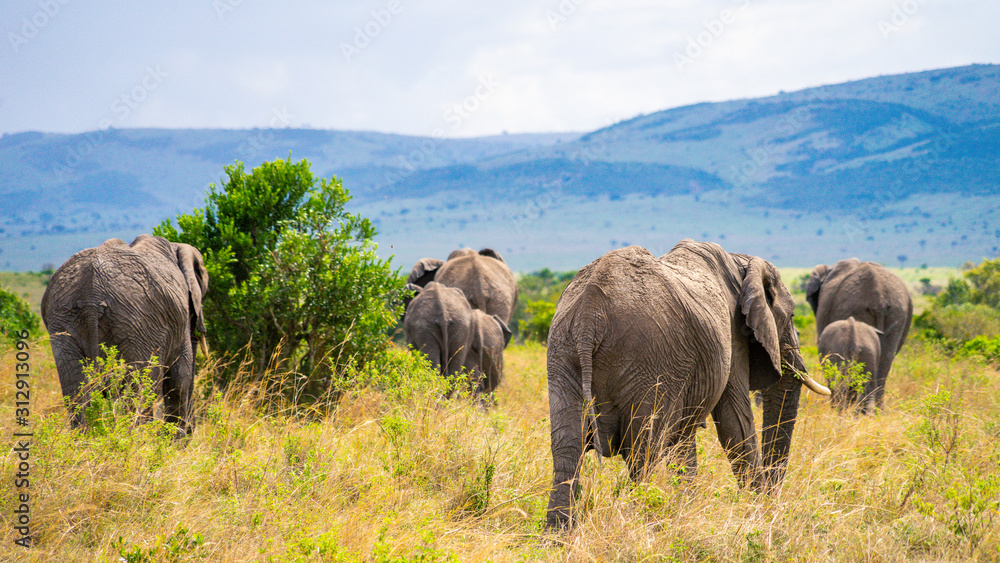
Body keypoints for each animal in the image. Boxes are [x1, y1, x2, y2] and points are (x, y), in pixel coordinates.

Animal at [41, 235, 209, 436]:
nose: (190, 431)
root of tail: (92, 295)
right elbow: (179, 380)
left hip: (63, 322)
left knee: (76, 390)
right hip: (139, 325)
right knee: (138, 391)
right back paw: (138, 439)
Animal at [544, 241, 832, 528]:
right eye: (792, 315)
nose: (774, 501)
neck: (742, 263)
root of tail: (589, 315)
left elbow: (685, 443)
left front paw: (687, 510)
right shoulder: (732, 336)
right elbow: (736, 425)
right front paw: (758, 514)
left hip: (563, 354)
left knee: (568, 449)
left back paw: (558, 533)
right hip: (648, 362)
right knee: (643, 452)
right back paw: (641, 524)